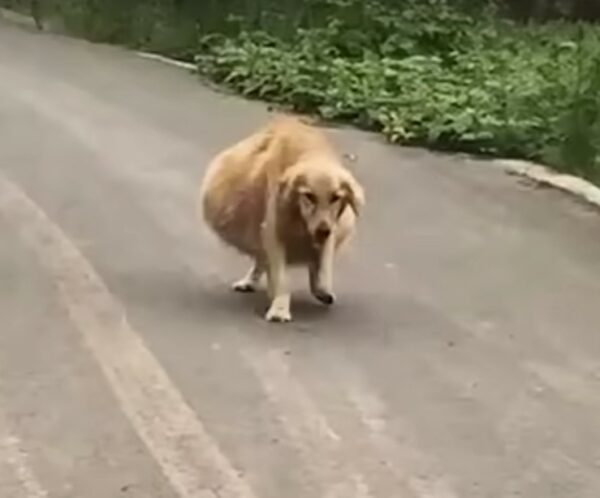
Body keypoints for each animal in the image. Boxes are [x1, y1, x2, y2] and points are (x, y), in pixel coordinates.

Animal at [199, 115, 364, 320]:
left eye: (336, 197)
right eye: (309, 196)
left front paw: (321, 289)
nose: (322, 231)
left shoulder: (331, 228)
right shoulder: (273, 229)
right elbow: (281, 275)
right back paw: (251, 282)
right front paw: (279, 309)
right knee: (261, 256)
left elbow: (322, 265)